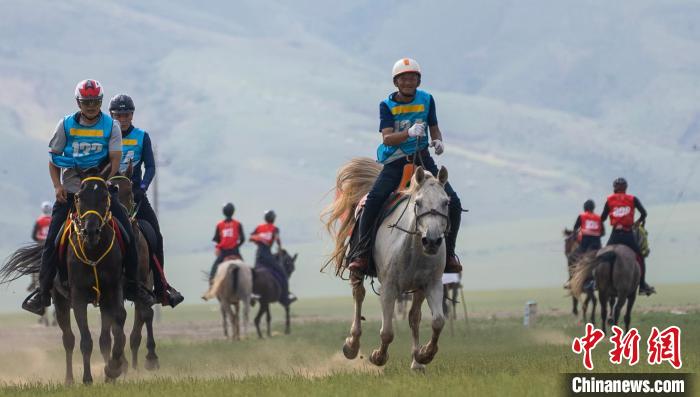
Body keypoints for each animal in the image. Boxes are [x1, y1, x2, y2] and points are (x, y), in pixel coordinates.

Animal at [1, 168, 129, 384]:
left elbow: (115, 327)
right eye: (78, 197)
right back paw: (69, 379)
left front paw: (113, 370)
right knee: (68, 339)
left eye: (105, 196)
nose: (91, 231)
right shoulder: (78, 297)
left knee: (104, 338)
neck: (93, 251)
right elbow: (86, 340)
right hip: (61, 302)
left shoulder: (112, 292)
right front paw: (87, 379)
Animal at [107, 163, 159, 368]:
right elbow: (117, 321)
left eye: (130, 191)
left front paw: (151, 359)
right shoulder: (118, 286)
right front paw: (120, 361)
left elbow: (145, 315)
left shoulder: (144, 282)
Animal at [322, 158, 448, 372]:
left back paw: (416, 363)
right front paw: (378, 357)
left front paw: (425, 354)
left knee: (414, 317)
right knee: (359, 296)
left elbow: (438, 321)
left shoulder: (432, 284)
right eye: (418, 202)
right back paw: (352, 346)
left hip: (419, 290)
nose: (431, 241)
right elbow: (387, 331)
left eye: (446, 202)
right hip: (357, 270)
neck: (412, 249)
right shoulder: (389, 288)